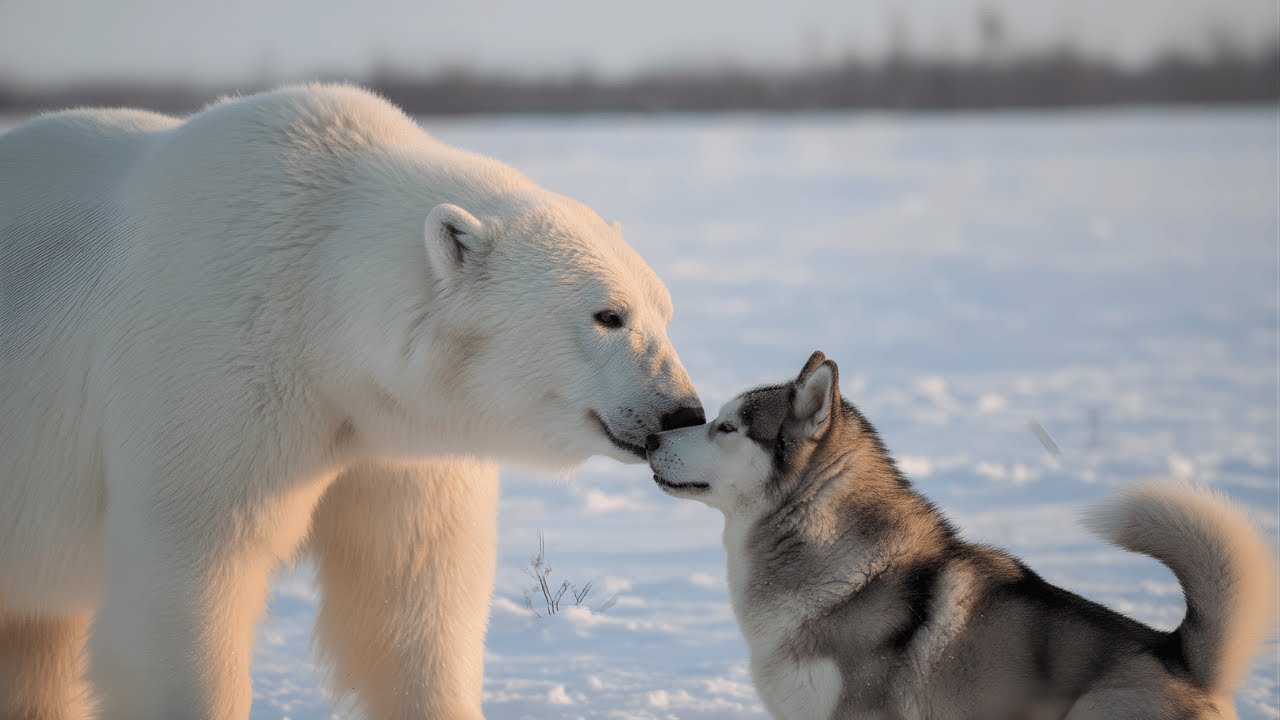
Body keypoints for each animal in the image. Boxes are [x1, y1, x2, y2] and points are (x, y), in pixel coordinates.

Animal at [0, 84, 704, 720]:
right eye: (608, 314)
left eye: (665, 311)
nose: (682, 413)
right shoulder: (213, 377)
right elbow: (191, 572)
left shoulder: (396, 437)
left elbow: (411, 594)